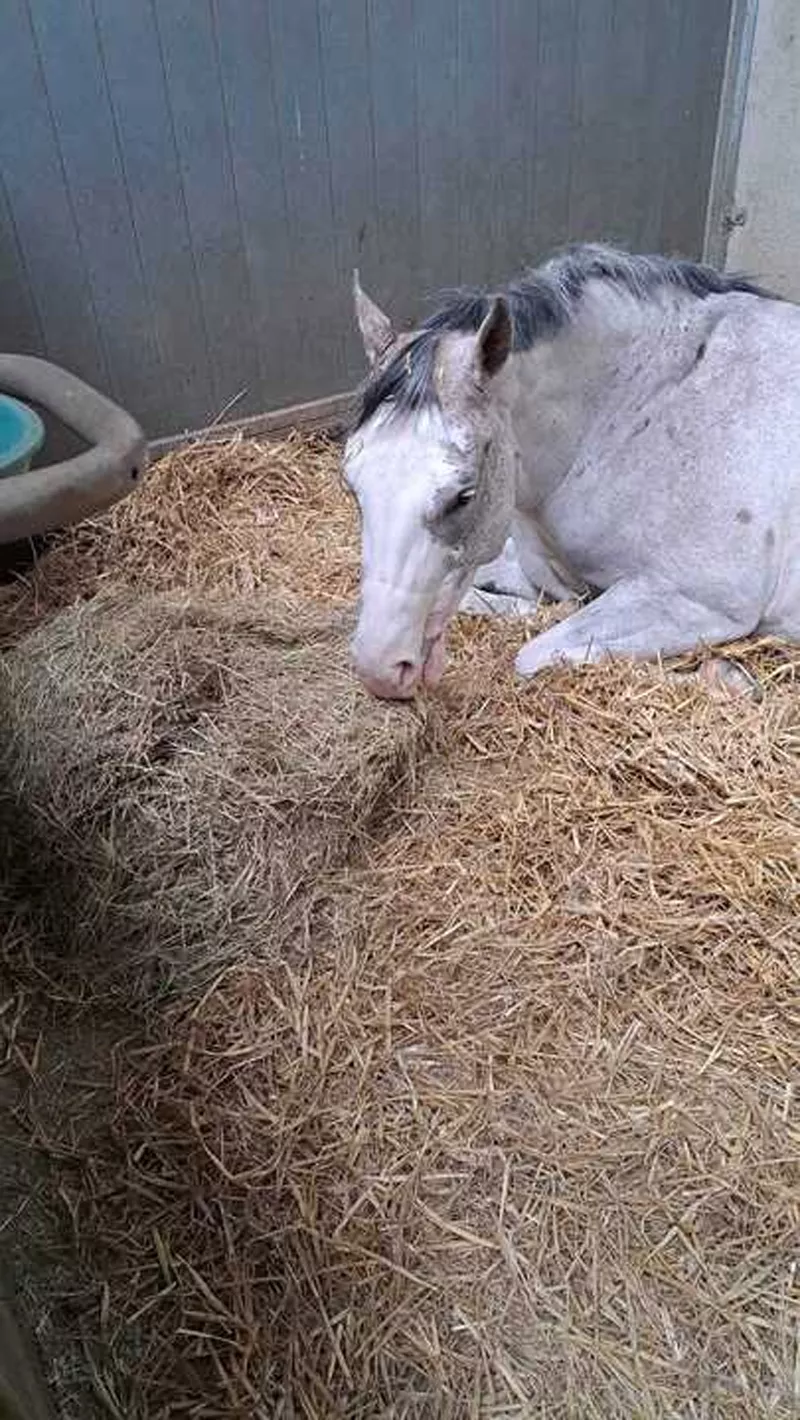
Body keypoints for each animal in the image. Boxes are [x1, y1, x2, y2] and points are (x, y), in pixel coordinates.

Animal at [345, 249, 800, 704]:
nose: (379, 670)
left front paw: (727, 678)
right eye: (351, 486)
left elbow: (536, 653)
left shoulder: (696, 602)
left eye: (464, 495)